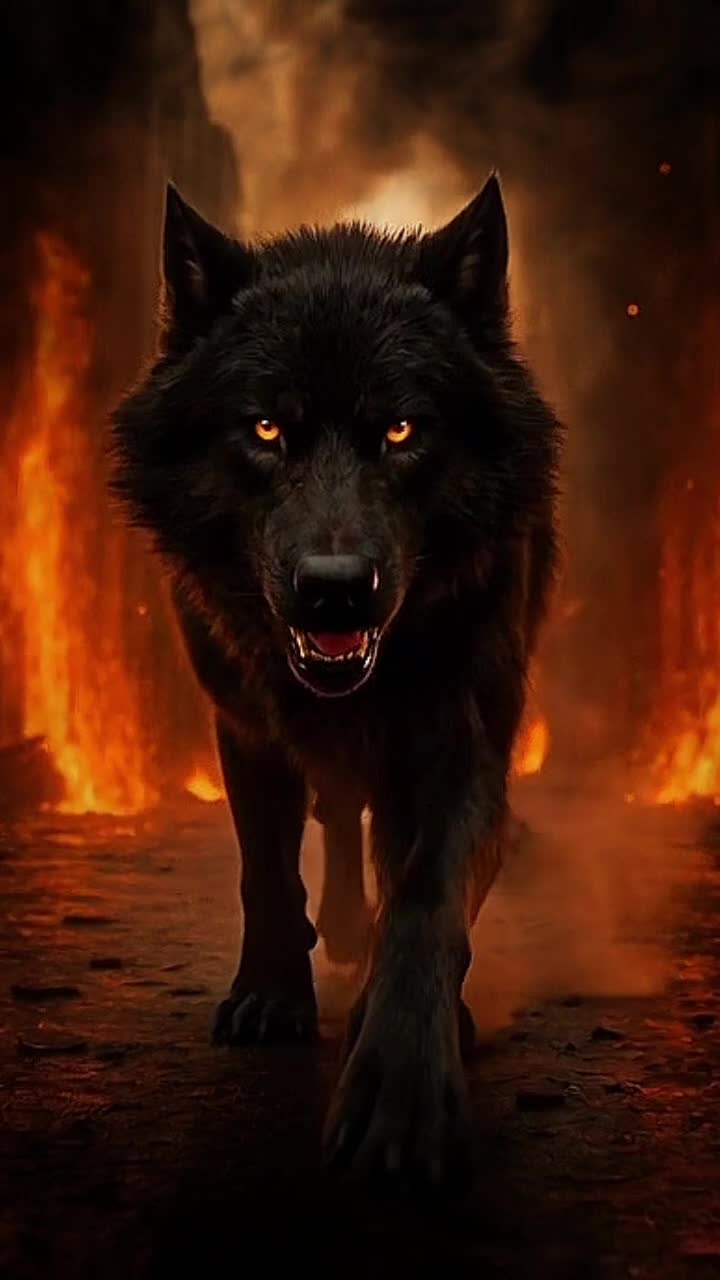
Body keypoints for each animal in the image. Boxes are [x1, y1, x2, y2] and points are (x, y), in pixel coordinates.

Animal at [110, 174, 560, 1187]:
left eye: (399, 428)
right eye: (267, 427)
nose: (333, 588)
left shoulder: (463, 741)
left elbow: (427, 896)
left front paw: (401, 1082)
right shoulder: (244, 724)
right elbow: (265, 867)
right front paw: (273, 994)